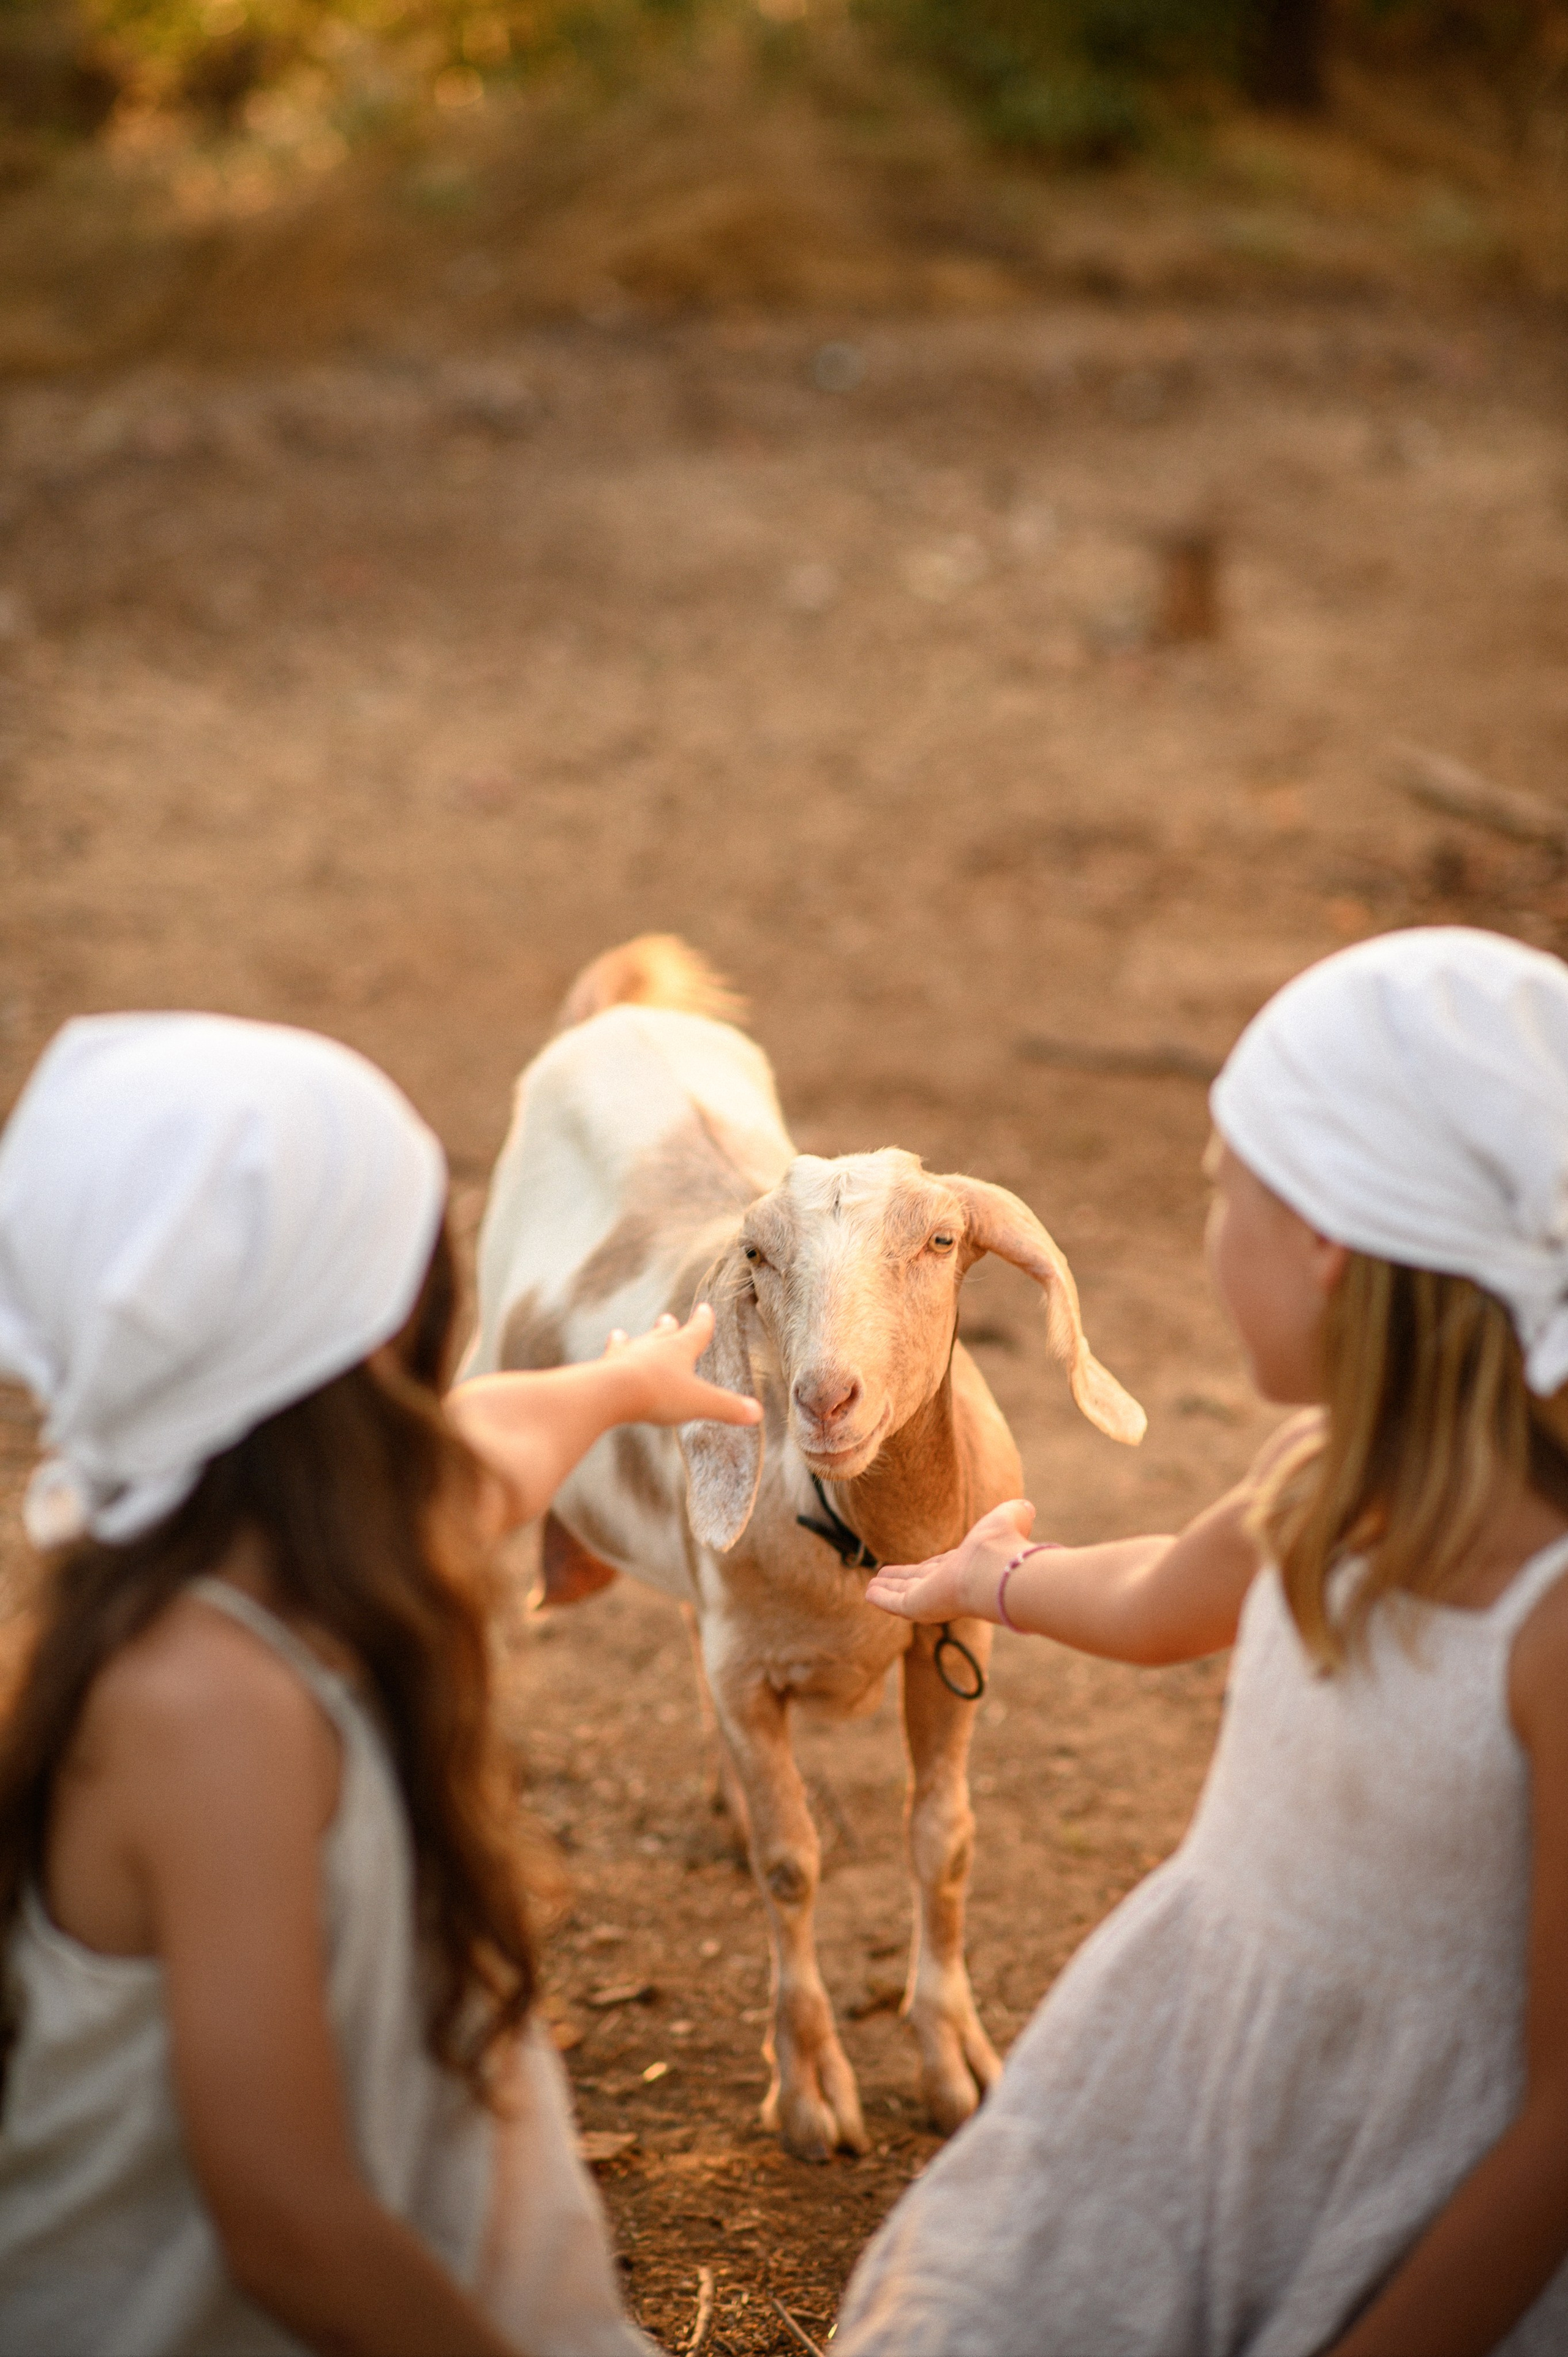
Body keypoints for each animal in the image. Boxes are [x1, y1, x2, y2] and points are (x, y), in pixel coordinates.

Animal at [468, 937, 1145, 2160]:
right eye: (759, 1256)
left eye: (940, 1239)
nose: (825, 1396)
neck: (863, 1540)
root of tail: (622, 1007)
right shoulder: (749, 1671)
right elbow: (793, 1866)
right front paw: (812, 2089)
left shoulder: (952, 1645)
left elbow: (944, 1838)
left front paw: (955, 2059)